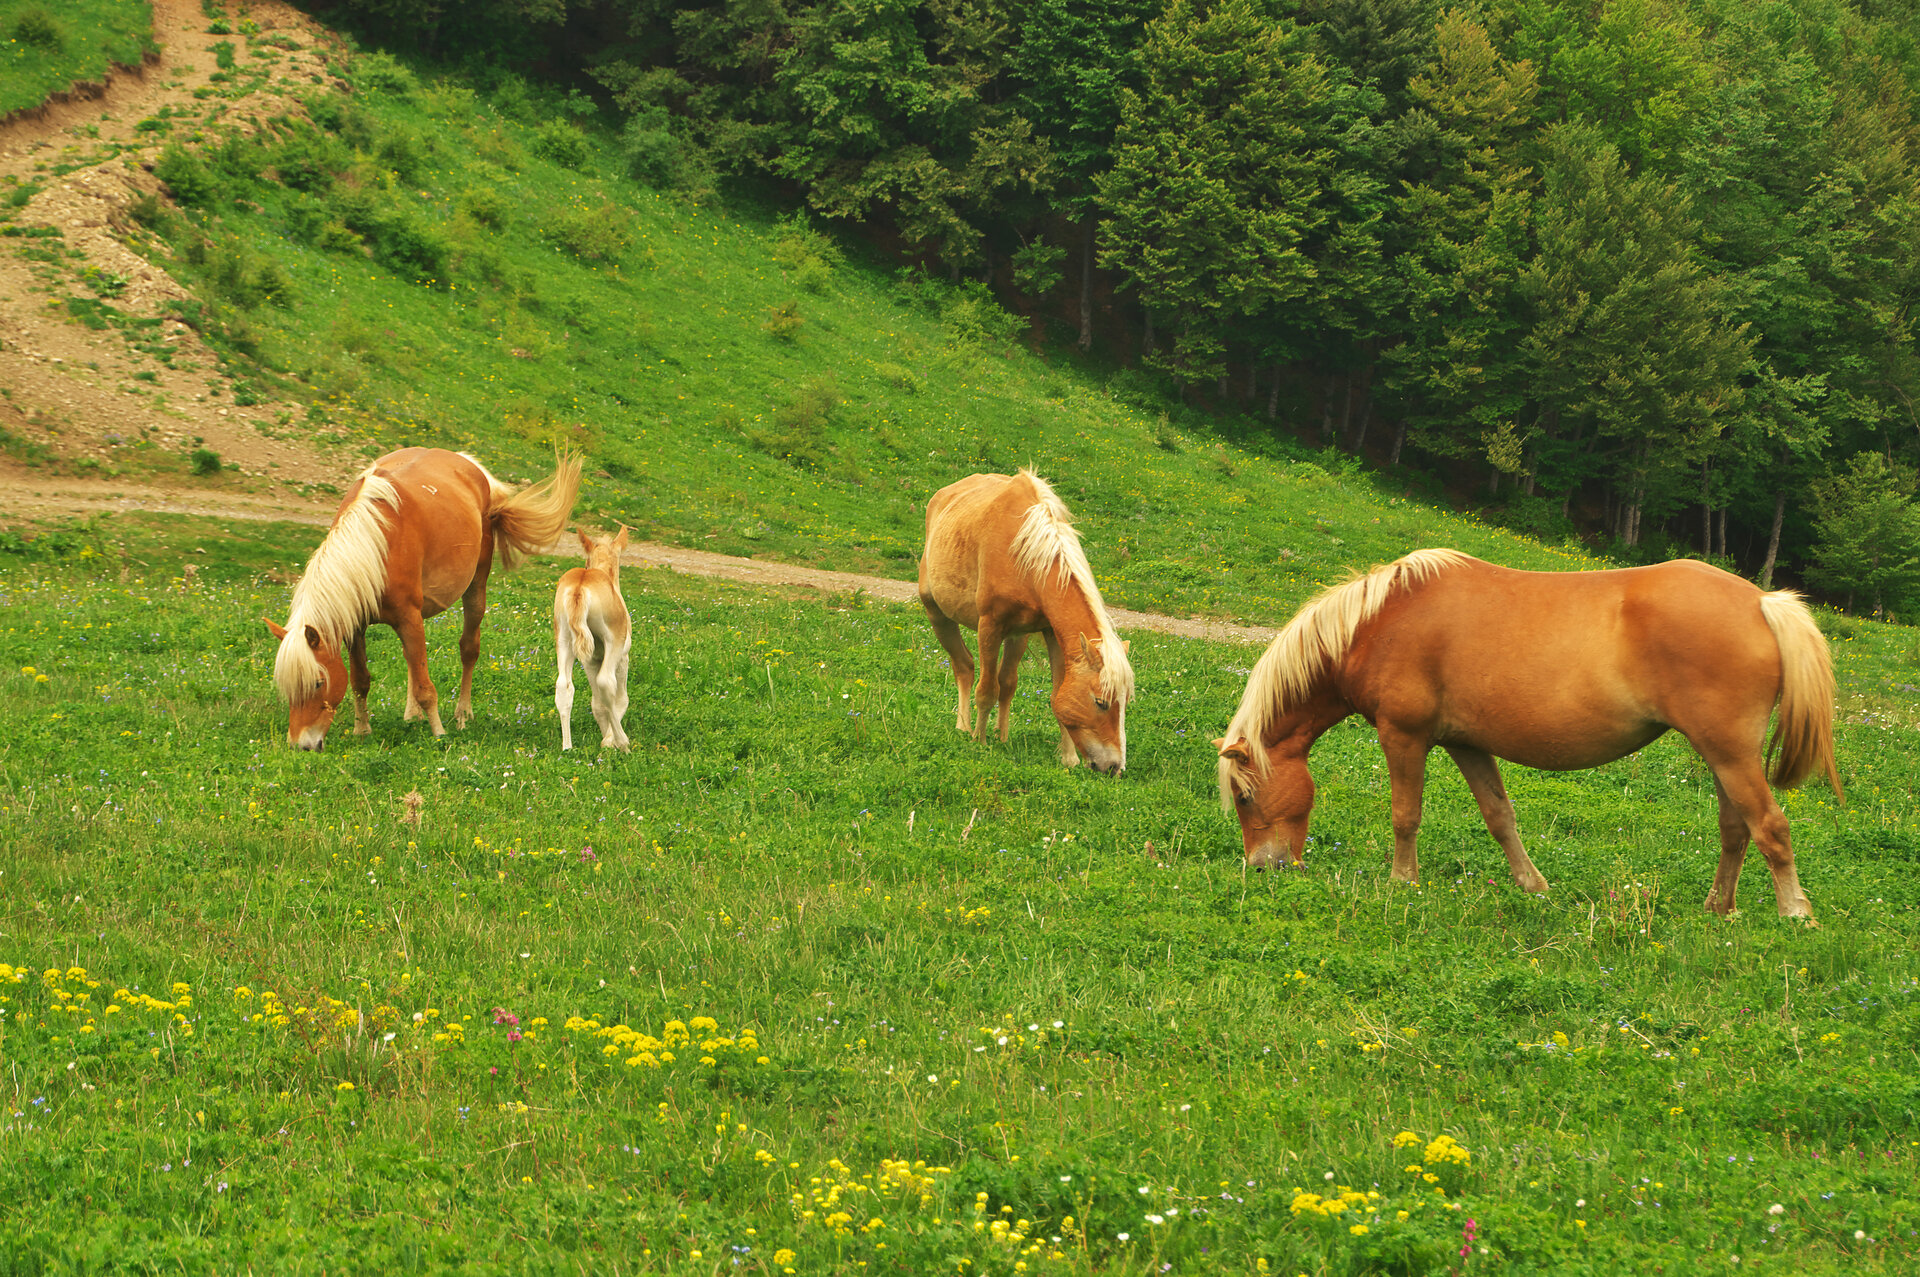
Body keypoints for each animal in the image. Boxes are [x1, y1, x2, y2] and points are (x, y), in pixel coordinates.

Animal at [263, 445, 576, 748]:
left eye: (318, 683)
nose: (301, 745)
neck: (375, 545)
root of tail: (468, 464)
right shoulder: (356, 626)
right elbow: (360, 680)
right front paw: (362, 730)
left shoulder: (409, 618)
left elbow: (426, 687)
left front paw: (439, 733)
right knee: (411, 661)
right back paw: (412, 714)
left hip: (475, 588)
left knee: (468, 649)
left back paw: (462, 714)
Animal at [552, 526, 633, 752]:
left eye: (586, 560)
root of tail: (579, 588)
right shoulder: (622, 657)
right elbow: (620, 699)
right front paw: (610, 741)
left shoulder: (590, 660)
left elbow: (597, 704)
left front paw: (606, 739)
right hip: (613, 641)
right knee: (606, 683)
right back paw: (623, 742)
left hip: (564, 637)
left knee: (563, 686)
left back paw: (567, 747)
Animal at [917, 466, 1128, 768]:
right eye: (1101, 702)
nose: (1114, 767)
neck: (1025, 552)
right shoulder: (990, 627)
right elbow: (986, 690)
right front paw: (979, 742)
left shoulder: (1047, 633)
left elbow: (1051, 693)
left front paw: (1068, 758)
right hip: (938, 616)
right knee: (964, 667)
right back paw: (964, 727)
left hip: (1017, 636)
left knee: (1006, 682)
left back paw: (1000, 736)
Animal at [1213, 549, 1843, 917]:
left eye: (1244, 798)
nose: (1263, 869)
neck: (1379, 621)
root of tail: (1762, 602)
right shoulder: (1466, 743)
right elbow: (1500, 816)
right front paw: (1533, 886)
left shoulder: (1404, 736)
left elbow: (1405, 815)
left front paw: (1402, 884)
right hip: (1721, 755)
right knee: (1736, 829)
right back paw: (1719, 908)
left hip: (1729, 752)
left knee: (1770, 826)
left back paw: (1795, 913)